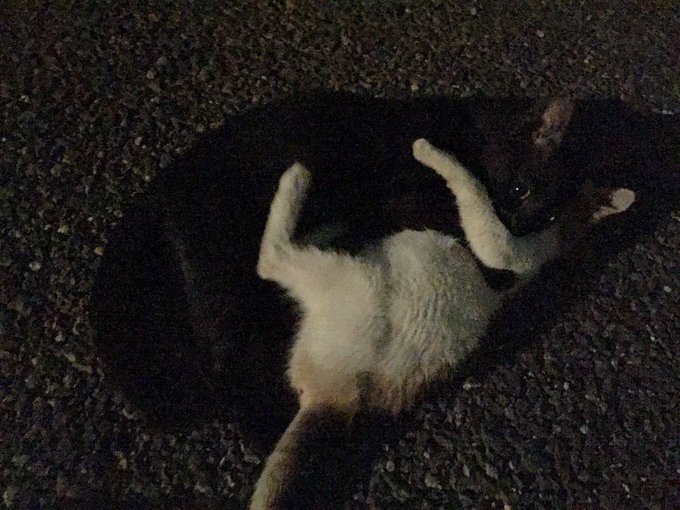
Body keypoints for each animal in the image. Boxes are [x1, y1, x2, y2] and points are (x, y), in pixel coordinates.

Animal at [249, 138, 635, 509]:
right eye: (523, 188)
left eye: (535, 195)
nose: (516, 204)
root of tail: (332, 398)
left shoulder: (500, 249)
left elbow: (470, 186)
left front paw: (433, 154)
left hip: (351, 278)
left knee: (270, 259)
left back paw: (297, 179)